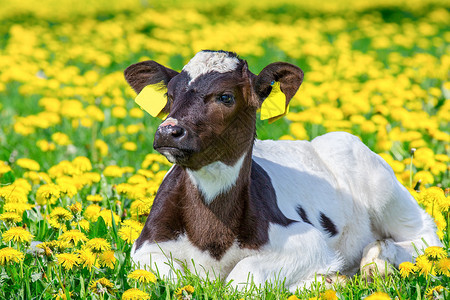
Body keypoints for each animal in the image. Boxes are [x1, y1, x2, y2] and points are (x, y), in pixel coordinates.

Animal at [125, 49, 442, 290]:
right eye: (170, 95)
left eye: (226, 97)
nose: (168, 131)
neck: (212, 234)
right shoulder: (145, 247)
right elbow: (174, 278)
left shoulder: (307, 239)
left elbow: (241, 279)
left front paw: (326, 280)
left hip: (380, 185)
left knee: (425, 238)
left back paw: (377, 262)